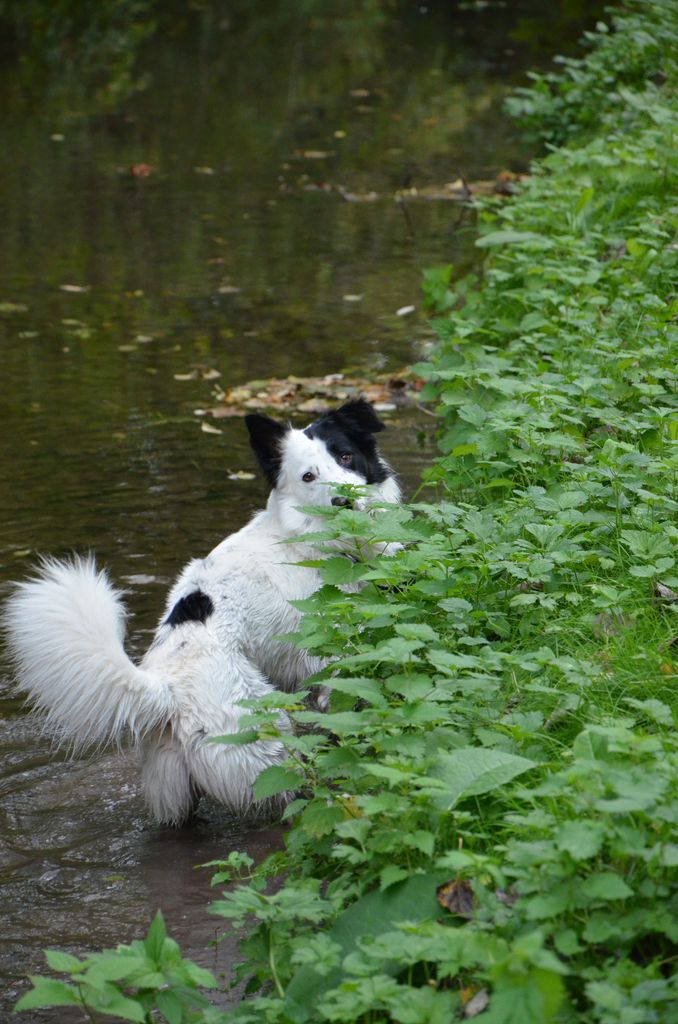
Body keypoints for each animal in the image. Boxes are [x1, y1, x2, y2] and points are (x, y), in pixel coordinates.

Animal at [2, 399, 401, 823]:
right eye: (308, 476)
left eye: (346, 456)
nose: (345, 500)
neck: (310, 536)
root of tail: (164, 689)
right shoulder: (330, 654)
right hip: (263, 749)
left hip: (172, 791)